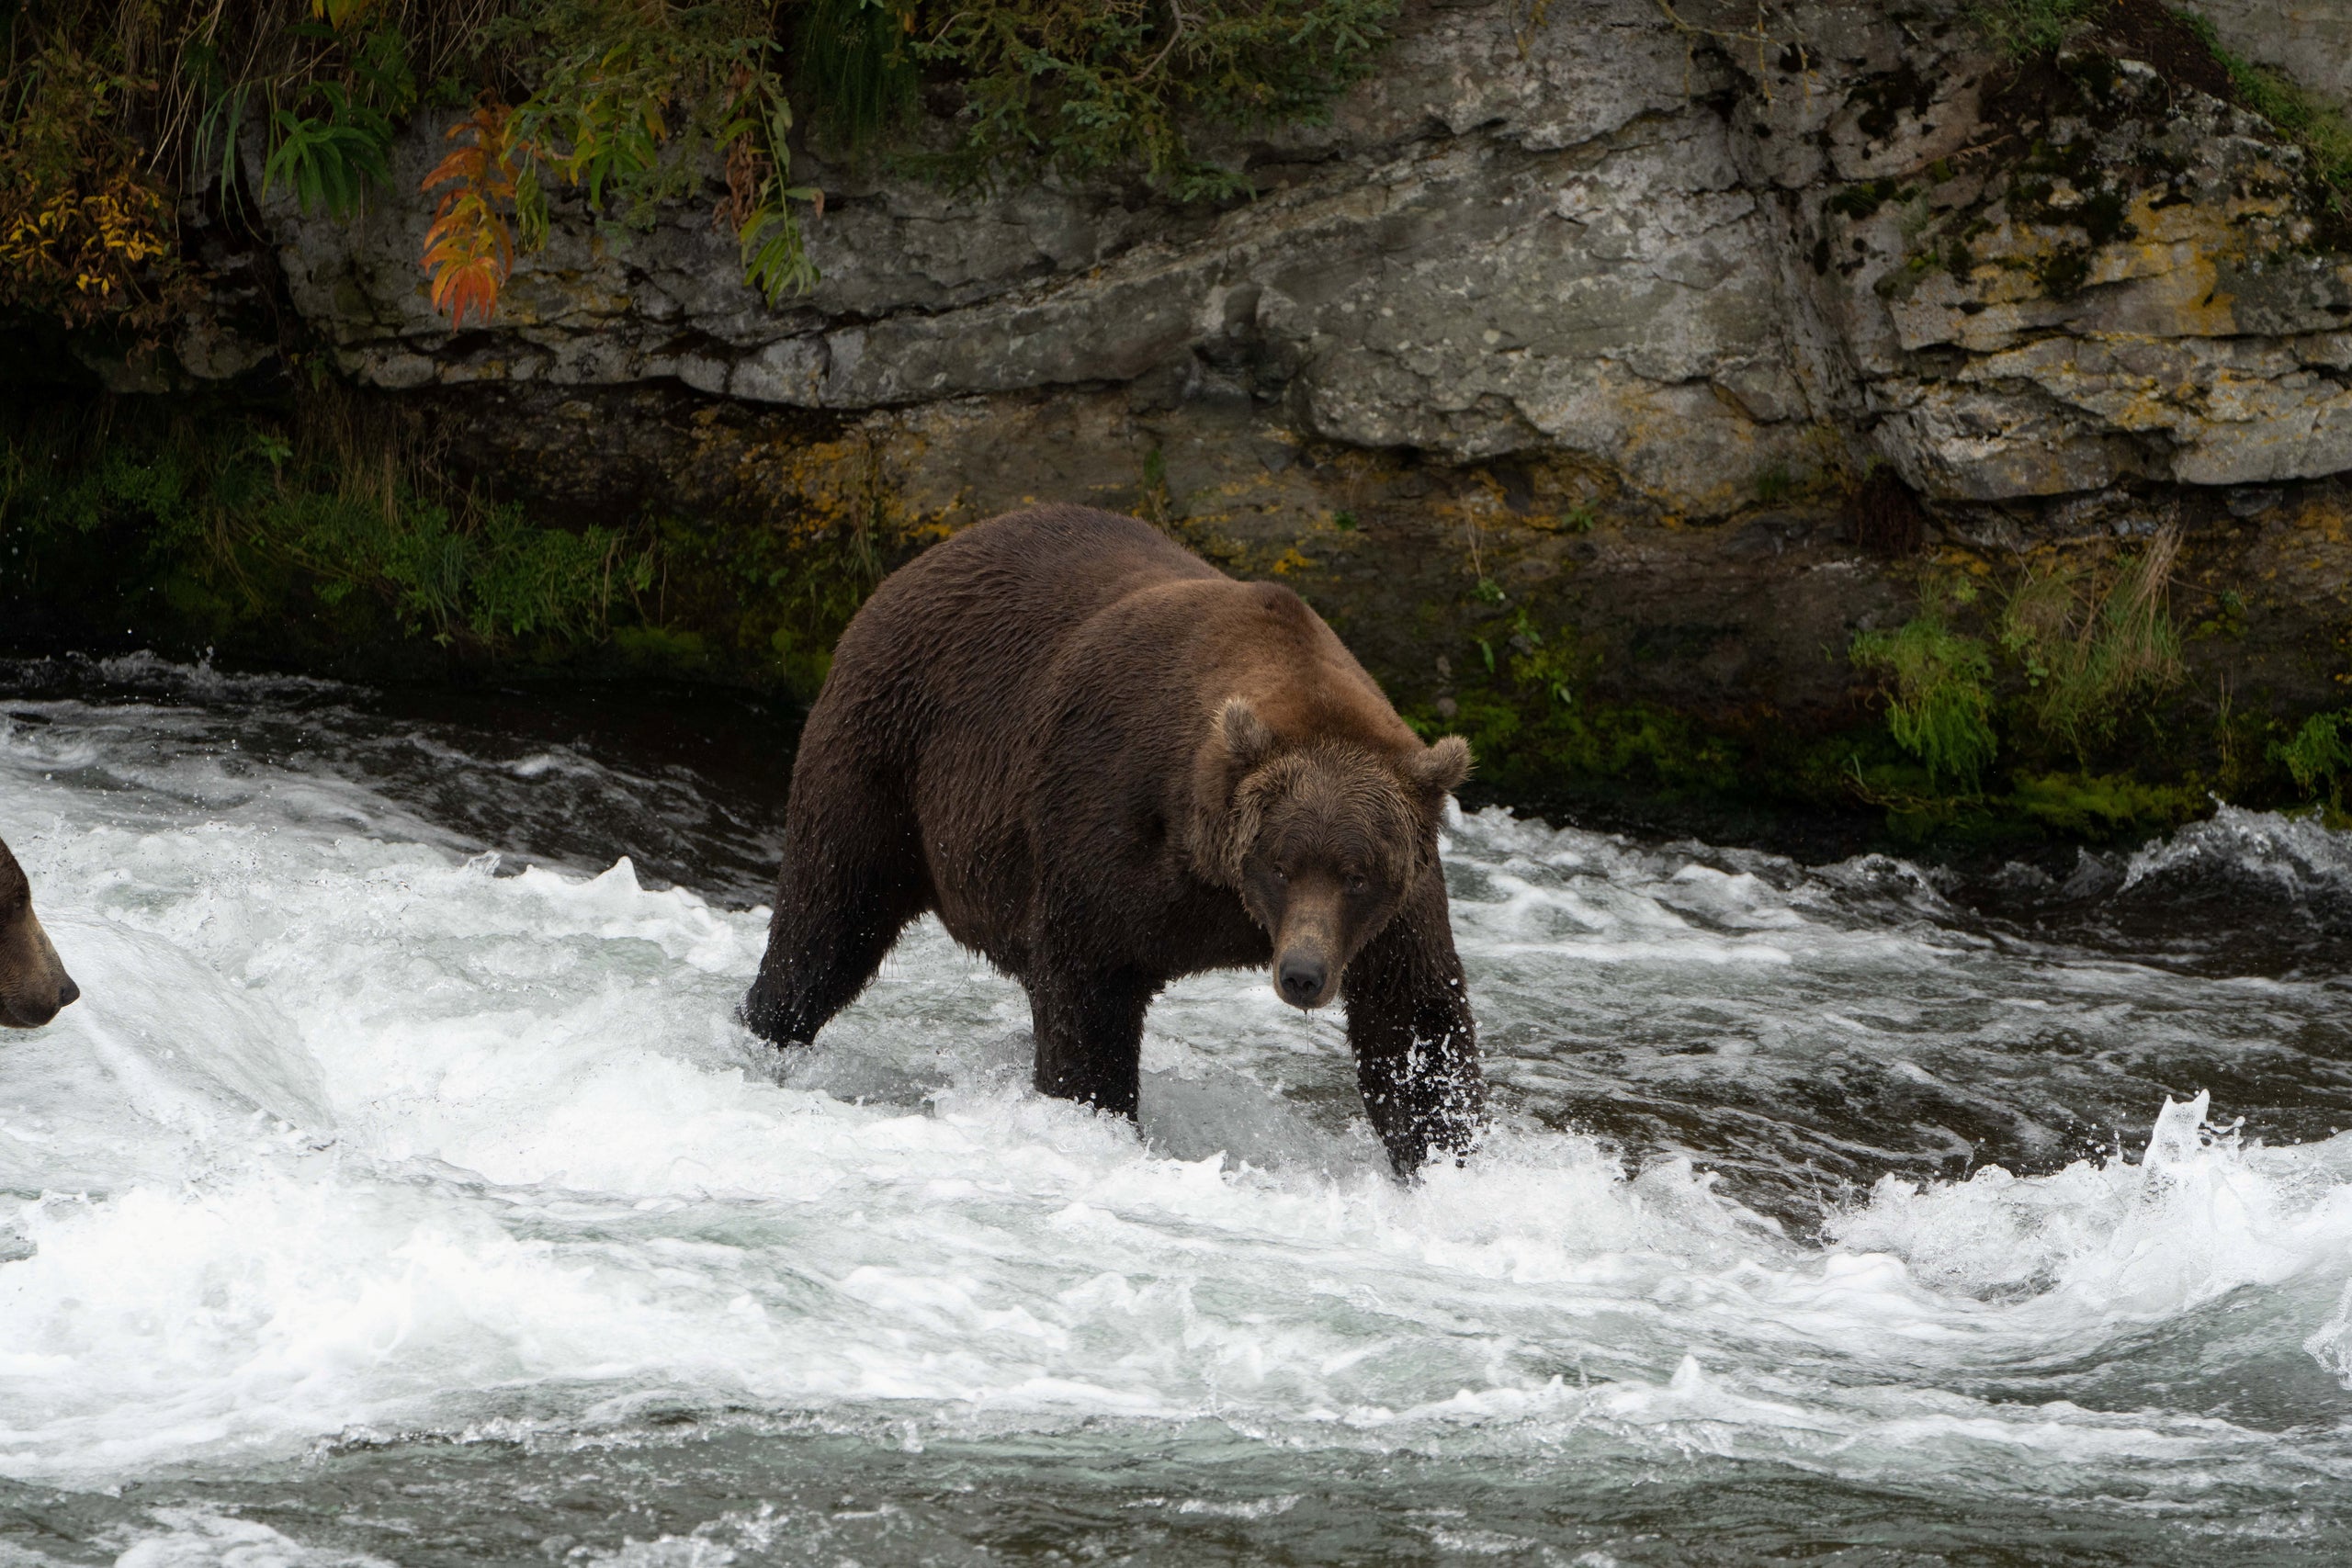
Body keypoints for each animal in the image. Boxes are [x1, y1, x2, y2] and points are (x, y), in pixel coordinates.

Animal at [748, 510, 1486, 1170]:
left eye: (1357, 874)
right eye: (1279, 863)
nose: (1302, 974)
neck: (1217, 883)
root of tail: (918, 562)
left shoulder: (1396, 909)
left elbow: (1413, 1024)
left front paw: (1447, 1158)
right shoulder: (1105, 822)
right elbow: (1088, 992)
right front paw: (1095, 1114)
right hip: (886, 756)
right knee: (830, 918)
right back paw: (769, 1028)